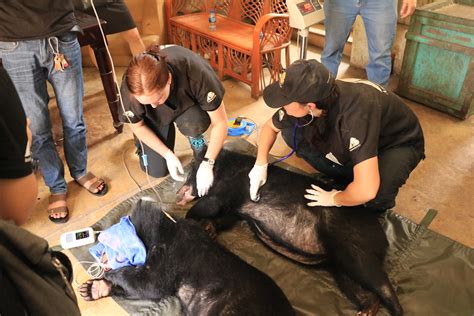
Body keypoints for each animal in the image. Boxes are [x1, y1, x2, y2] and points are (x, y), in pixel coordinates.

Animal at [77, 200, 296, 316]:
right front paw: (96, 287)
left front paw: (114, 274)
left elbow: (150, 284)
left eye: (108, 244)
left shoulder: (174, 254)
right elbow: (141, 289)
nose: (102, 258)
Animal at [178, 149, 404, 316]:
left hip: (352, 243)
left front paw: (189, 220)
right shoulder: (234, 209)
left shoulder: (226, 191)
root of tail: (383, 238)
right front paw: (209, 229)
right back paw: (366, 310)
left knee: (376, 279)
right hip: (340, 264)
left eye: (191, 169)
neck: (223, 167)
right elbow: (224, 217)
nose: (179, 191)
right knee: (356, 285)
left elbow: (209, 205)